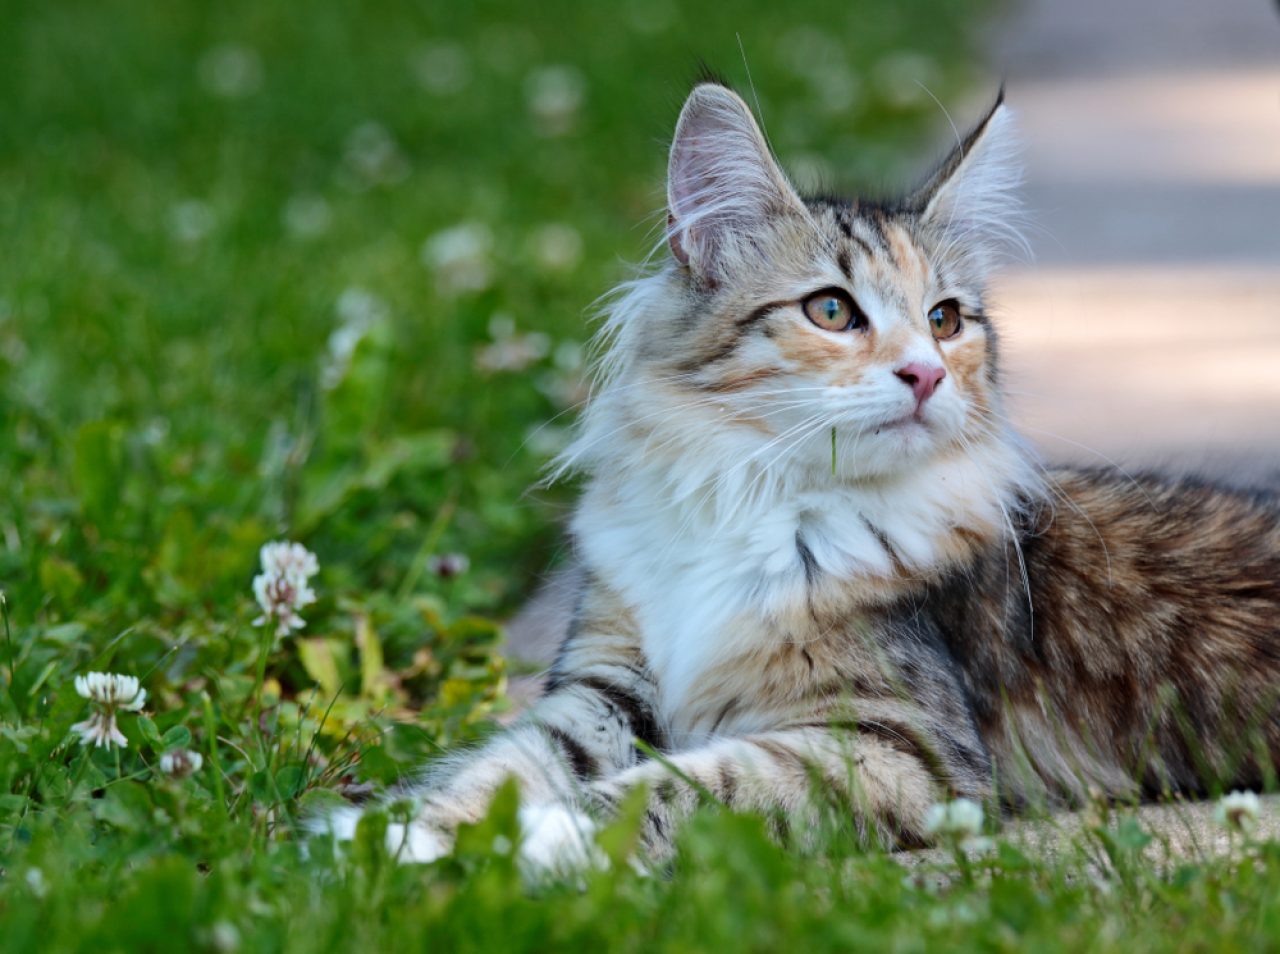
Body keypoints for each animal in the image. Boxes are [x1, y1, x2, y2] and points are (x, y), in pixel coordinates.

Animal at [317, 81, 1280, 870]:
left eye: (946, 319)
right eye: (831, 310)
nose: (926, 374)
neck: (759, 495)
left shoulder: (898, 744)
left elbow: (680, 786)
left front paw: (539, 838)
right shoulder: (607, 686)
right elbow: (501, 770)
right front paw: (395, 839)